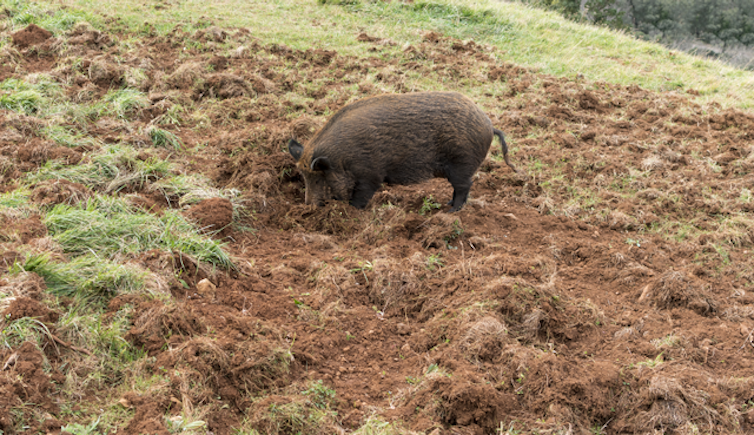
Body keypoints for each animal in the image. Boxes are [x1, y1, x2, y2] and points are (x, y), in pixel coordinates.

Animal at [284, 91, 516, 212]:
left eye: (318, 178)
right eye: (303, 177)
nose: (308, 206)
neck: (342, 159)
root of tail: (489, 125)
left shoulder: (371, 175)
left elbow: (360, 197)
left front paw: (353, 212)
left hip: (462, 162)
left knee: (464, 186)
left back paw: (451, 211)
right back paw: (448, 205)